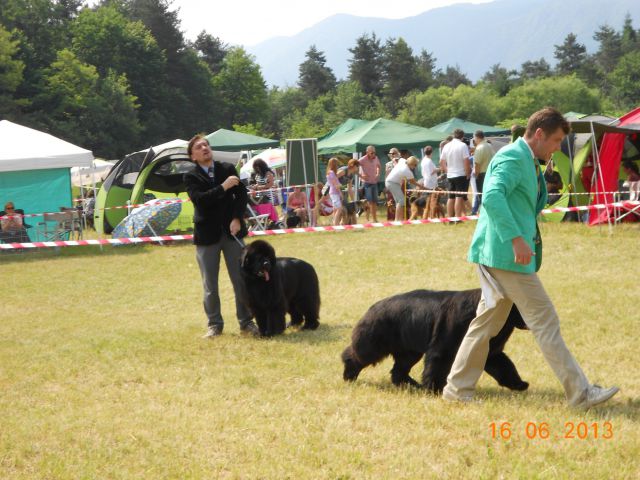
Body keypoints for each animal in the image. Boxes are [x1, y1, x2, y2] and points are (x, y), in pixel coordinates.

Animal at [342, 288, 528, 394]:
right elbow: (437, 368)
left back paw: (414, 386)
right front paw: (434, 390)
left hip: (409, 352)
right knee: (355, 355)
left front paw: (519, 384)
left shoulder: (489, 351)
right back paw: (349, 375)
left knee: (398, 371)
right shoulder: (443, 348)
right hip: (374, 343)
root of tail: (371, 308)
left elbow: (505, 367)